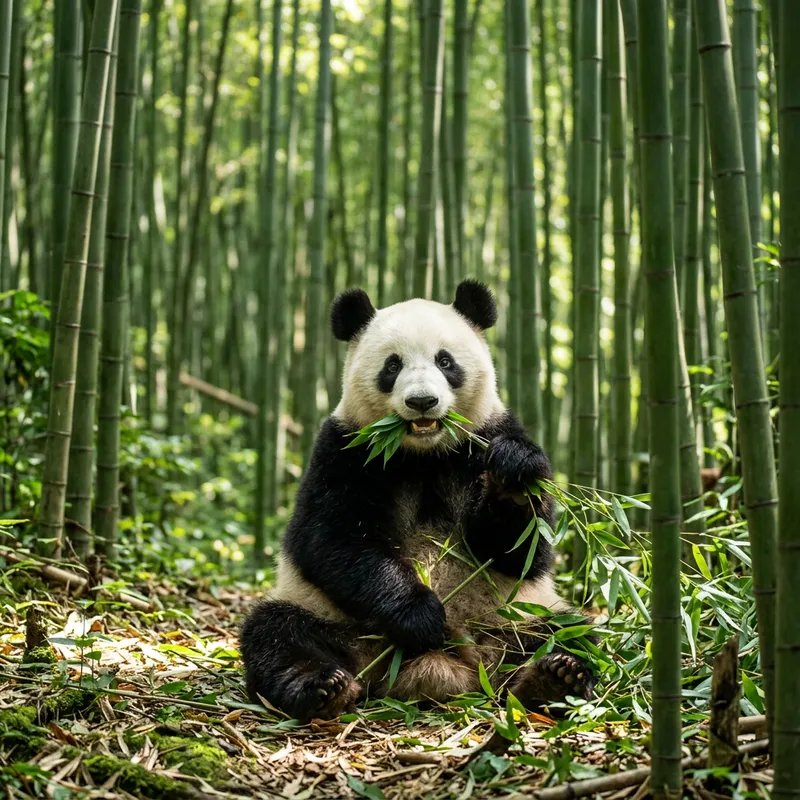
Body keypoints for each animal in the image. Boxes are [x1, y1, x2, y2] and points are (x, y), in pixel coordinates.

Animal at [239, 280, 594, 721]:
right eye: (392, 365)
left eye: (445, 361)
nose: (422, 401)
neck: (424, 452)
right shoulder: (347, 450)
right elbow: (333, 539)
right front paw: (422, 617)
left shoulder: (484, 437)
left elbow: (522, 551)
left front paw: (513, 476)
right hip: (330, 615)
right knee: (277, 633)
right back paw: (324, 686)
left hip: (516, 615)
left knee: (570, 632)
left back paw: (555, 677)